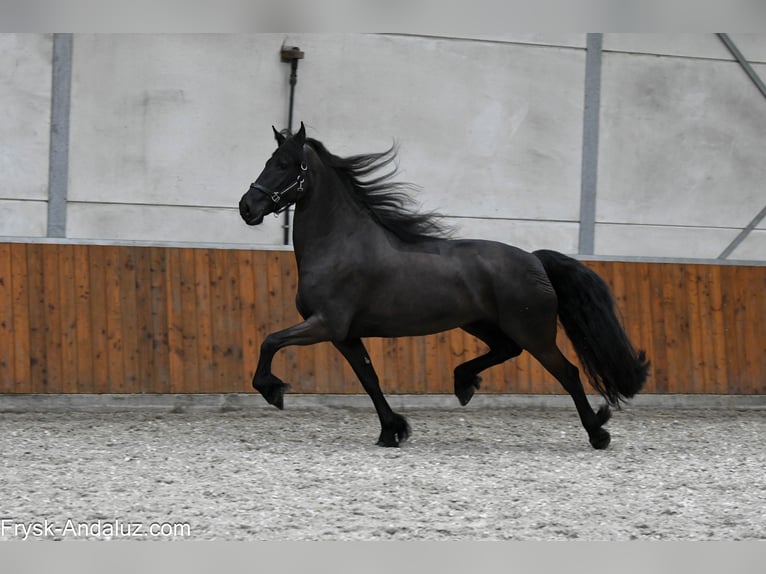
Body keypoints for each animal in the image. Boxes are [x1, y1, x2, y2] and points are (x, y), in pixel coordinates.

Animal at [238, 123, 649, 449]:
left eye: (285, 164)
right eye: (268, 161)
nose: (247, 207)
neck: (340, 244)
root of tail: (535, 260)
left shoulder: (325, 324)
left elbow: (270, 341)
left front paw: (273, 390)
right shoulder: (345, 335)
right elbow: (369, 378)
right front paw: (392, 431)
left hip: (534, 332)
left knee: (567, 372)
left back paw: (598, 433)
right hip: (481, 323)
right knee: (507, 350)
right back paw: (463, 382)